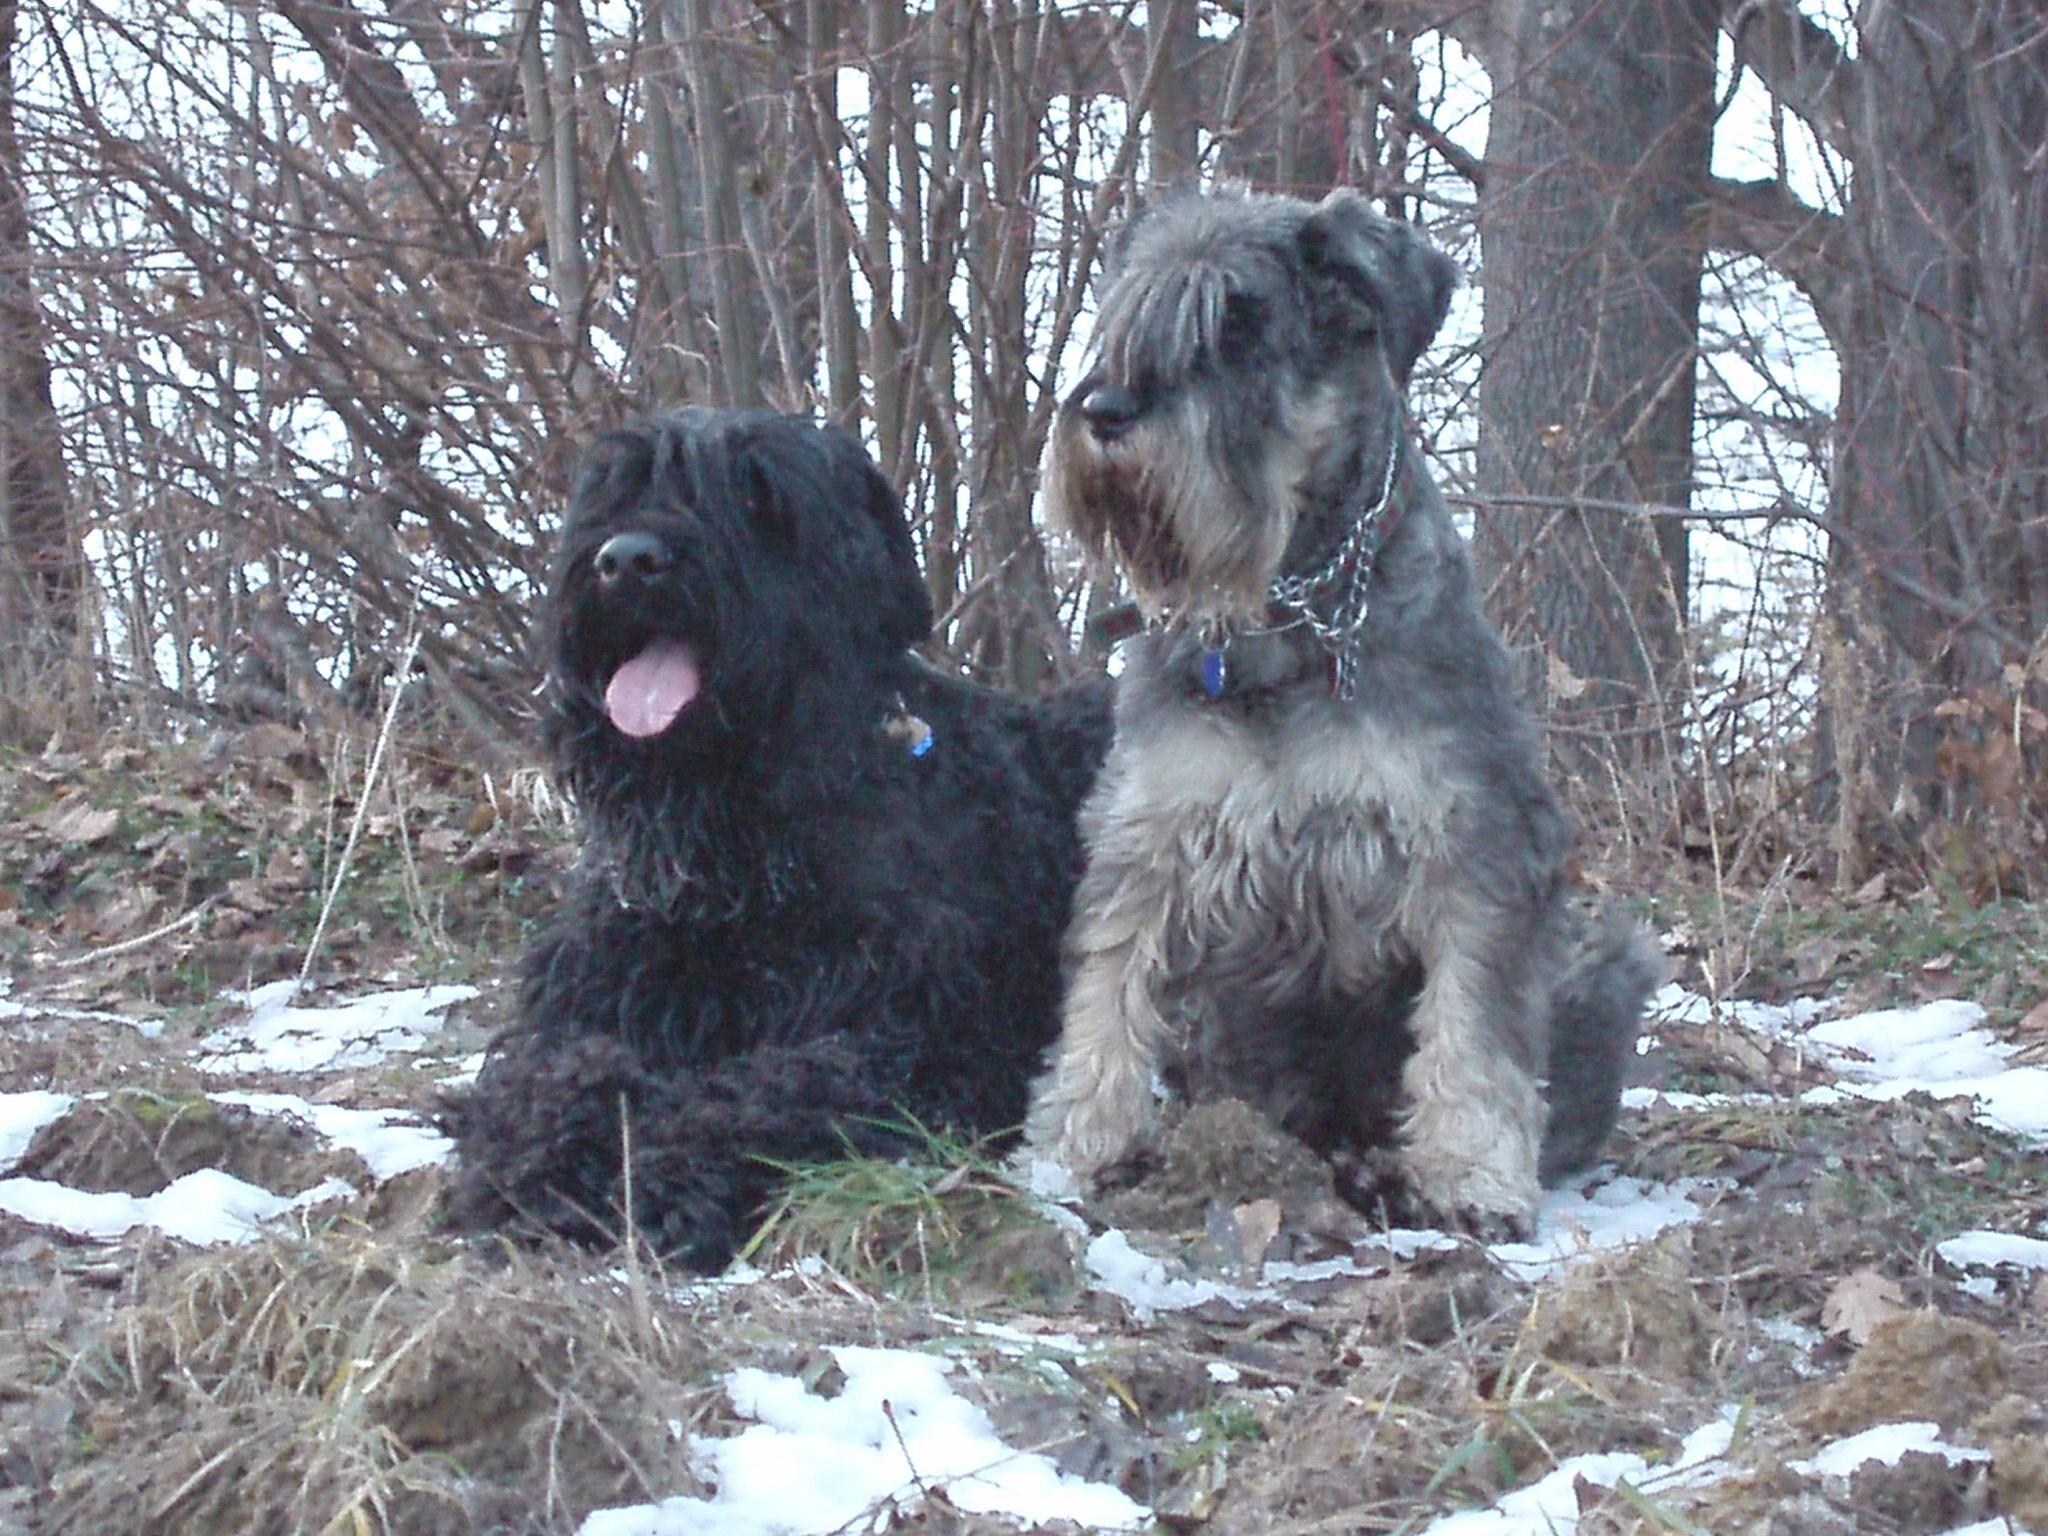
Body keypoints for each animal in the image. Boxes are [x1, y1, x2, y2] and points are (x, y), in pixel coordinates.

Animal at [448, 405, 1114, 1261]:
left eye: (758, 494)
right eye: (617, 485)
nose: (627, 561)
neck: (742, 852)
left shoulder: (919, 1032)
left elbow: (776, 1088)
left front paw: (669, 1170)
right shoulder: (585, 995)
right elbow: (549, 1073)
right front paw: (545, 1157)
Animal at [1024, 189, 1662, 1236]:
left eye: (1240, 326)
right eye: (1124, 314)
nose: (1106, 412)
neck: (1288, 610)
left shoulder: (1473, 842)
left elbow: (1472, 1024)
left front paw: (1472, 1174)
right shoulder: (1147, 835)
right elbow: (1106, 988)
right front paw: (1078, 1145)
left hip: (1603, 955)